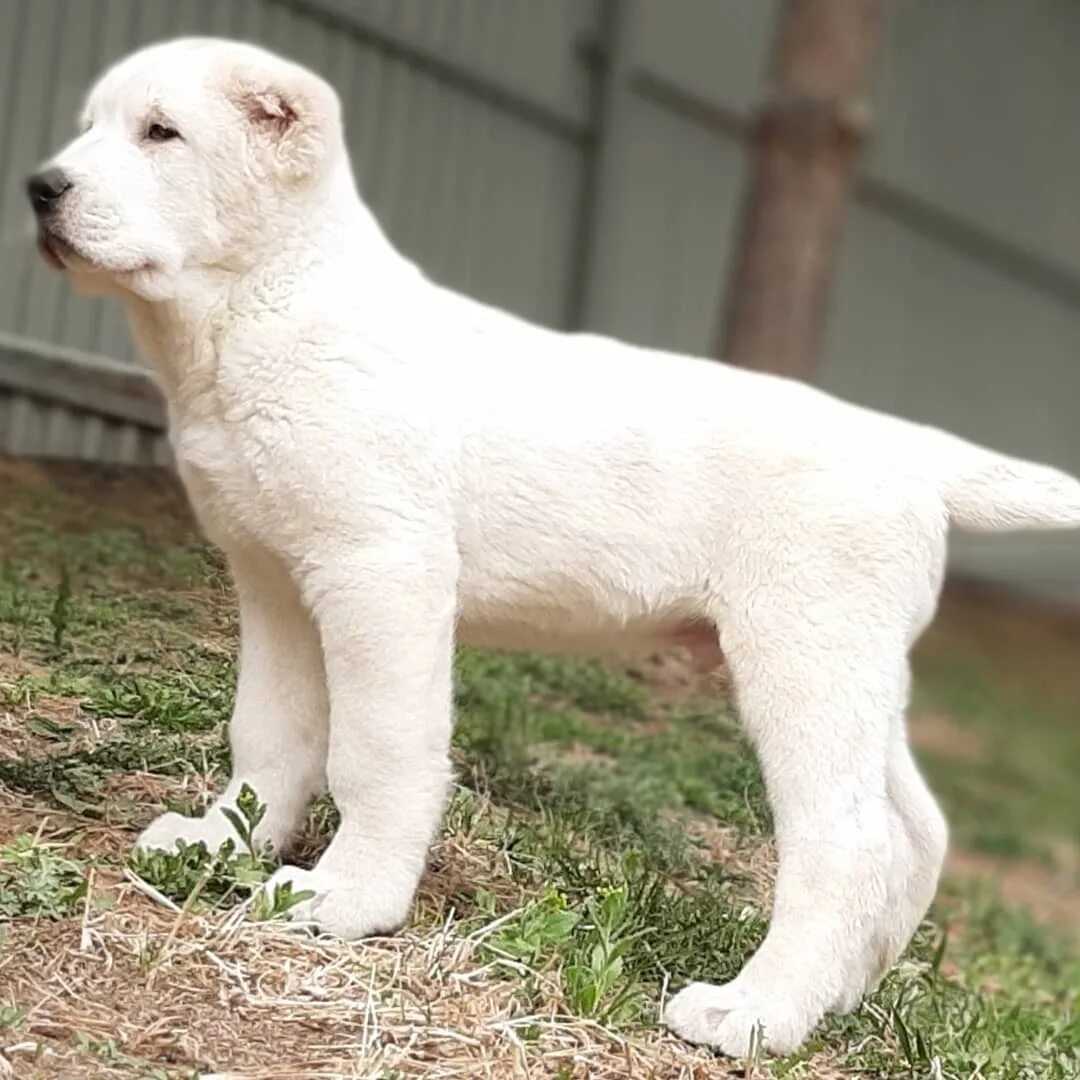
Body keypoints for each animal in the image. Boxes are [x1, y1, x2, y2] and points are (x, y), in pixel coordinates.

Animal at [29, 39, 1080, 1054]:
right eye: (88, 127)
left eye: (161, 133)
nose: (41, 187)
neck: (265, 306)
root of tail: (910, 449)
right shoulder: (275, 581)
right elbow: (270, 733)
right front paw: (224, 843)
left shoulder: (382, 573)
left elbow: (374, 751)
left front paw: (348, 898)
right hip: (854, 667)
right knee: (918, 834)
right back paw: (841, 998)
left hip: (804, 654)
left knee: (850, 843)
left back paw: (757, 1016)